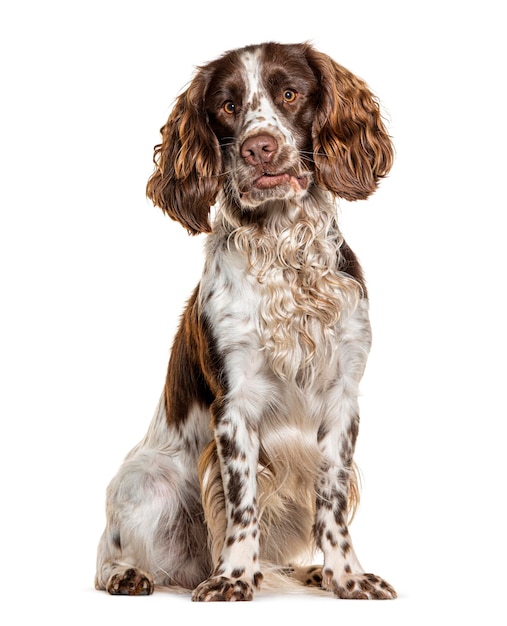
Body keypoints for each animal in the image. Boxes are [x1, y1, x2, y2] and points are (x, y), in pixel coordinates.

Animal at [95, 40, 396, 600]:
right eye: (228, 106)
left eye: (290, 93)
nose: (259, 148)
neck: (283, 249)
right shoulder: (235, 403)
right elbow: (241, 502)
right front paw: (234, 576)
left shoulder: (343, 398)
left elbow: (332, 505)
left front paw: (347, 576)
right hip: (147, 481)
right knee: (108, 551)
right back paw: (129, 574)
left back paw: (311, 572)